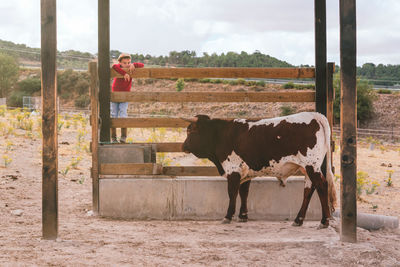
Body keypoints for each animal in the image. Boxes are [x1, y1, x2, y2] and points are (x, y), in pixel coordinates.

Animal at [183, 112, 336, 229]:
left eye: (190, 130)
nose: (183, 146)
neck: (220, 134)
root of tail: (315, 115)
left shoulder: (233, 170)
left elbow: (232, 193)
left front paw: (228, 216)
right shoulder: (245, 171)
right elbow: (244, 192)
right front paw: (243, 216)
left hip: (311, 166)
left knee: (322, 186)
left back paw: (324, 221)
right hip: (307, 168)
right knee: (308, 191)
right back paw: (298, 220)